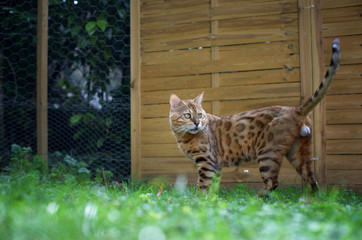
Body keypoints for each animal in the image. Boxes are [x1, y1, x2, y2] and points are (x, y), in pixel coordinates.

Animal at [168, 38, 340, 196]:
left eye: (200, 115)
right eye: (187, 115)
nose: (197, 123)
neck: (185, 138)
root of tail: (294, 109)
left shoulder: (207, 161)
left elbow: (203, 187)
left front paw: (198, 202)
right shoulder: (216, 166)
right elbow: (213, 187)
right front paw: (212, 201)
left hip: (267, 152)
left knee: (272, 183)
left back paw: (256, 200)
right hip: (298, 153)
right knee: (311, 179)